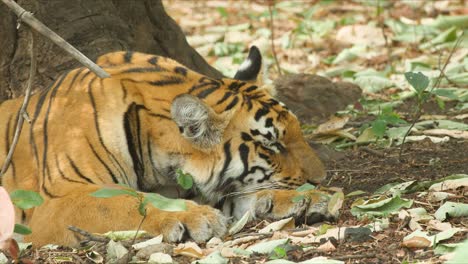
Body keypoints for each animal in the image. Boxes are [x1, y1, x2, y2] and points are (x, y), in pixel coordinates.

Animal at [1, 46, 334, 246]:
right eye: (272, 145)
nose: (321, 179)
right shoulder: (55, 199)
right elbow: (127, 202)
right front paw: (197, 218)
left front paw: (309, 198)